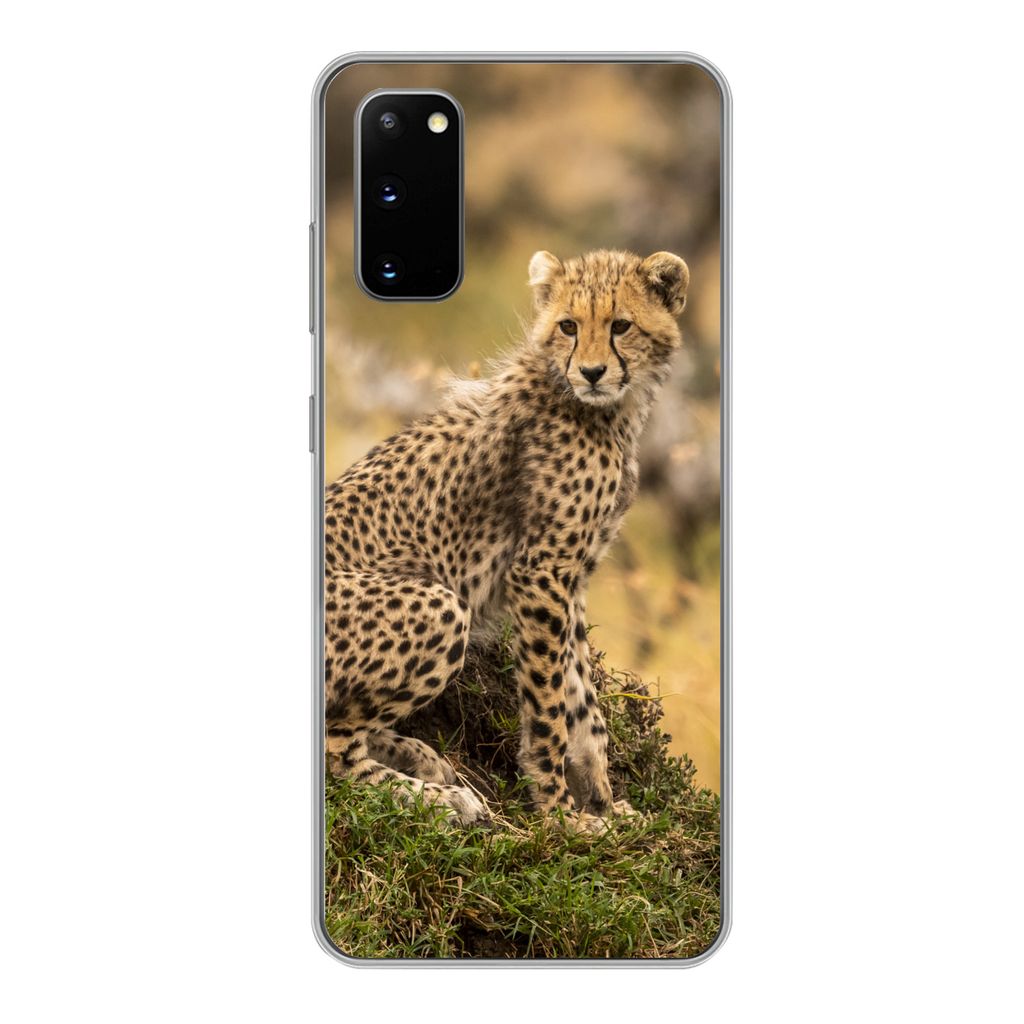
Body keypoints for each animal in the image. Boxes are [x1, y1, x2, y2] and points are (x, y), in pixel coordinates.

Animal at [324, 247, 690, 831]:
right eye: (568, 326)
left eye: (620, 326)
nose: (591, 372)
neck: (602, 409)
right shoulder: (539, 574)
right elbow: (549, 705)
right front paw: (561, 815)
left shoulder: (571, 578)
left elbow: (584, 702)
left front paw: (605, 804)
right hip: (440, 606)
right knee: (336, 749)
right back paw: (439, 799)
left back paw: (419, 756)